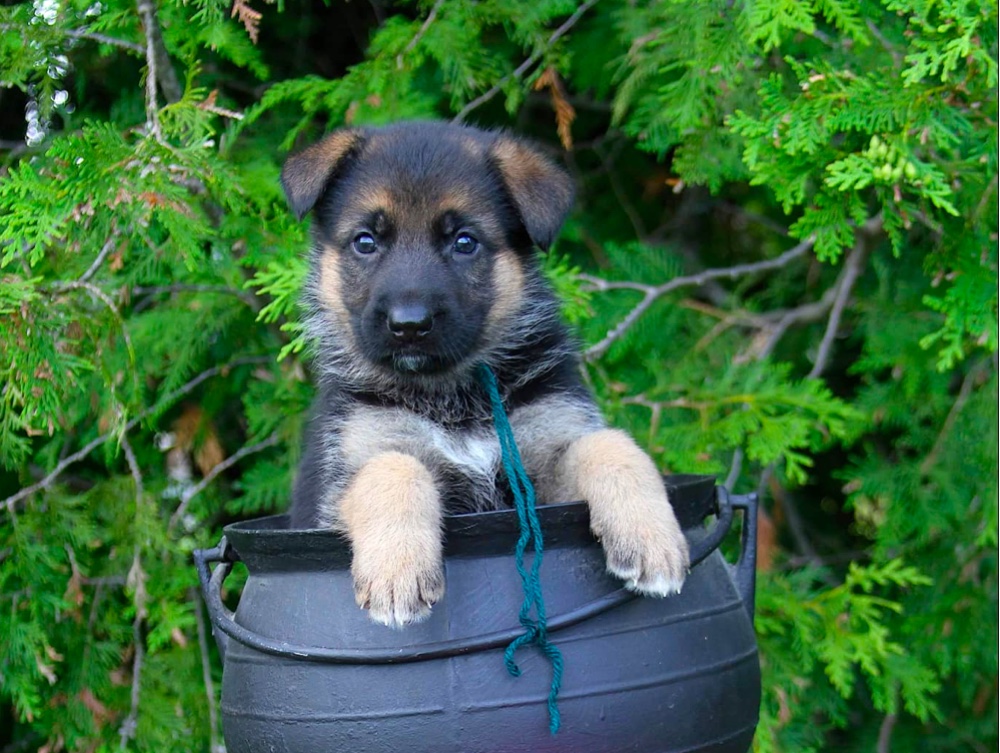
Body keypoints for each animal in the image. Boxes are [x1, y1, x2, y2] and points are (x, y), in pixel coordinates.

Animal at [280, 123, 688, 624]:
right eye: (365, 242)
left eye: (464, 242)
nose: (409, 325)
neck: (453, 391)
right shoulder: (337, 486)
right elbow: (393, 465)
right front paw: (398, 570)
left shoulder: (544, 474)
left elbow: (608, 444)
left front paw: (652, 537)